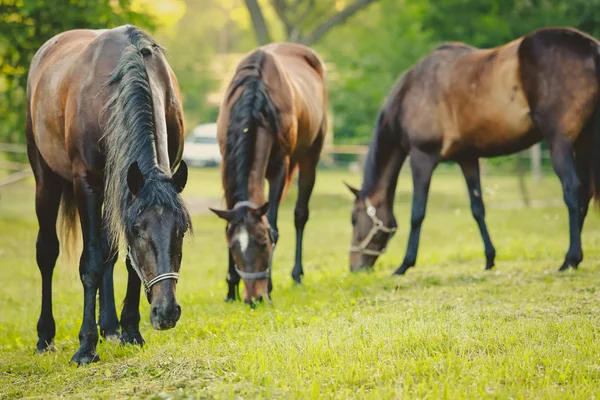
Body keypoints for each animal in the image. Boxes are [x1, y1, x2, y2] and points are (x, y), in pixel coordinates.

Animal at [25, 23, 190, 364]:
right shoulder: (87, 184)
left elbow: (124, 260)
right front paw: (86, 347)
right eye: (139, 231)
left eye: (181, 231)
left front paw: (130, 331)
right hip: (45, 178)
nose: (166, 312)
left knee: (108, 252)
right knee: (47, 252)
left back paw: (111, 327)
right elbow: (90, 263)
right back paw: (45, 336)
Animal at [207, 43, 328, 304]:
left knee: (300, 215)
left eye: (264, 243)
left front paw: (270, 287)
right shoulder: (225, 167)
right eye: (233, 247)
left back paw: (297, 275)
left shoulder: (279, 167)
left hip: (310, 156)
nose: (255, 298)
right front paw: (231, 289)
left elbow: (273, 225)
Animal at [344, 25, 600, 276]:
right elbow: (477, 208)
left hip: (560, 143)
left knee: (572, 190)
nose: (355, 267)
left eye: (354, 219)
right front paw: (489, 259)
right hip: (585, 142)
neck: (410, 93)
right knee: (584, 194)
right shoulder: (467, 158)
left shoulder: (421, 158)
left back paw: (570, 259)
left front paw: (405, 264)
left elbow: (417, 213)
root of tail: (591, 48)